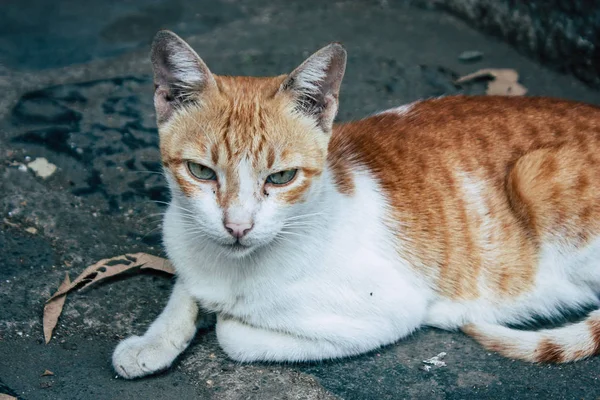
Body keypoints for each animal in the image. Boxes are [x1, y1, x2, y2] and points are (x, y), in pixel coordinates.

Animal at [111, 28, 600, 378]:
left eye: (281, 177)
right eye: (201, 172)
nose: (238, 226)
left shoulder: (388, 312)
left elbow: (234, 333)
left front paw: (224, 317)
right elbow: (185, 288)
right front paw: (153, 341)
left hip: (533, 176)